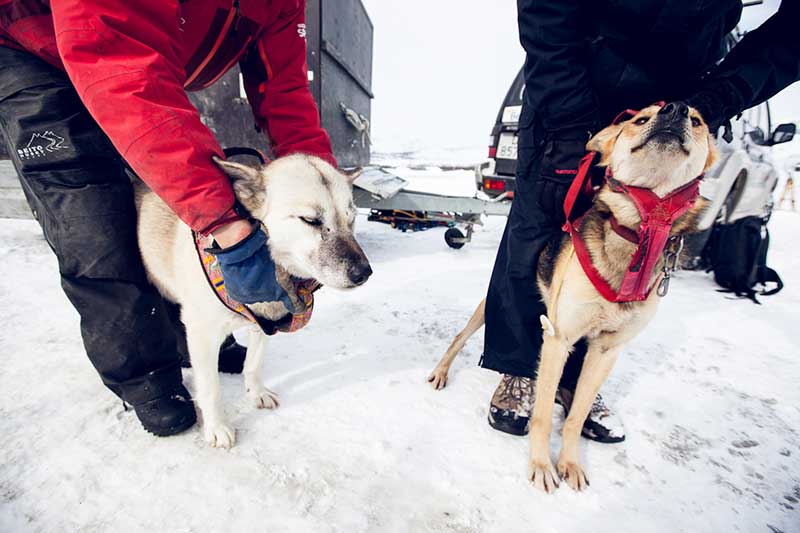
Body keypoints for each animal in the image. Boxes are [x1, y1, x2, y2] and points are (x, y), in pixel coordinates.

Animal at [428, 102, 716, 492]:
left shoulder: (605, 349)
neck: (639, 234)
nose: (676, 109)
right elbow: (542, 415)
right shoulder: (559, 338)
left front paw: (569, 463)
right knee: (461, 337)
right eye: (640, 119)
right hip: (492, 306)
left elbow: (576, 416)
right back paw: (442, 372)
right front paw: (541, 465)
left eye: (698, 122)